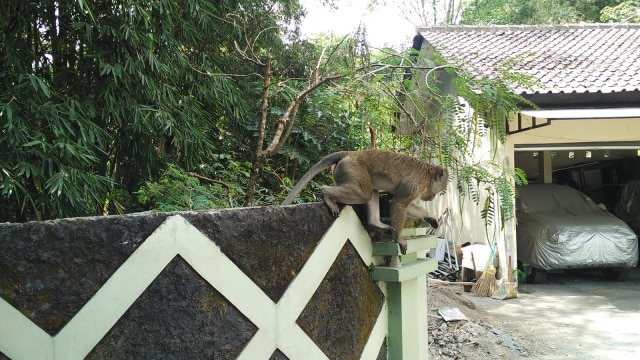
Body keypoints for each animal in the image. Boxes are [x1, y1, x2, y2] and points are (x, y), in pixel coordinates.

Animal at [282, 149, 448, 253]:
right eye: (437, 192)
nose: (432, 197)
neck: (428, 175)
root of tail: (351, 153)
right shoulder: (416, 184)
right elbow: (398, 204)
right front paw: (399, 239)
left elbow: (406, 205)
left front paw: (430, 217)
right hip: (353, 169)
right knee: (364, 194)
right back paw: (327, 194)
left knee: (371, 190)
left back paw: (375, 223)